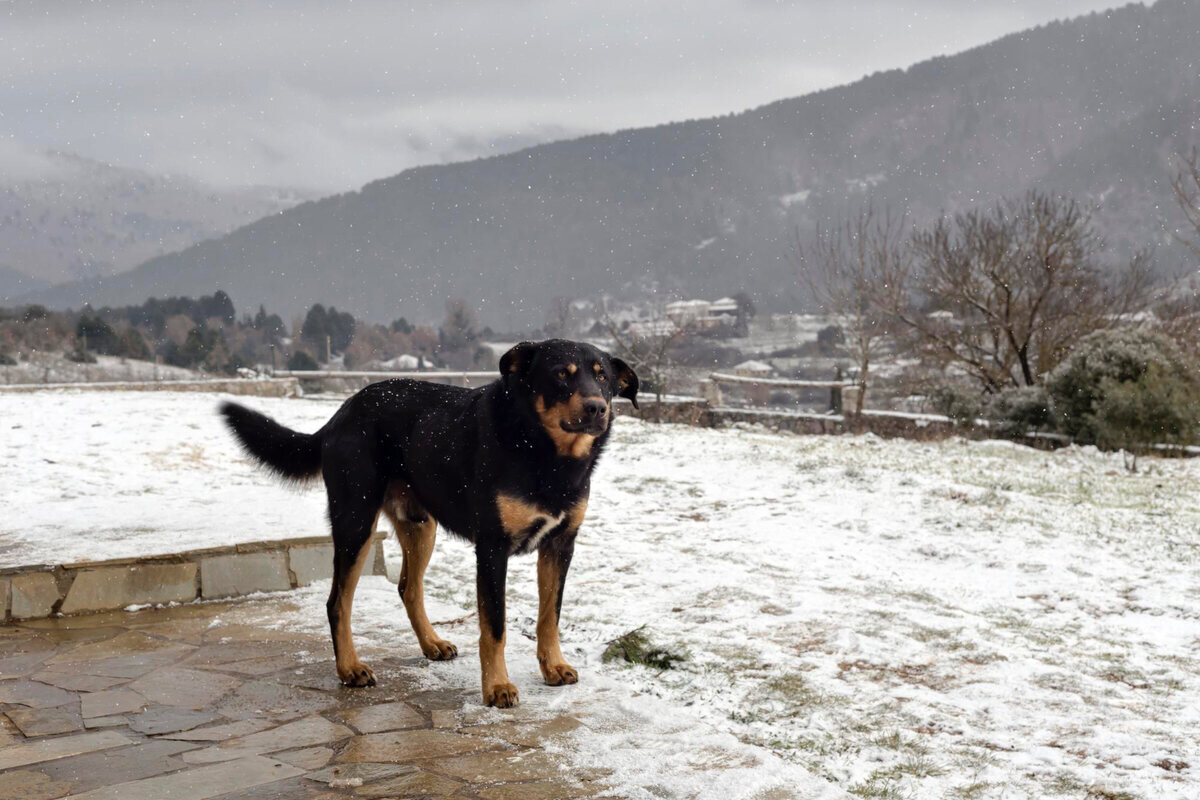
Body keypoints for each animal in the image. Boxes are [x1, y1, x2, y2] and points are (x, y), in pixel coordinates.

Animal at [222, 338, 643, 705]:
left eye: (603, 377)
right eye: (560, 375)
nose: (597, 408)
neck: (544, 452)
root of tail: (341, 413)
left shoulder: (561, 545)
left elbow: (549, 616)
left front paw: (553, 666)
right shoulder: (492, 549)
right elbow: (495, 627)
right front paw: (497, 687)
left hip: (420, 526)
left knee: (408, 588)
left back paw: (431, 644)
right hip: (356, 522)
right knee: (337, 602)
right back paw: (350, 668)